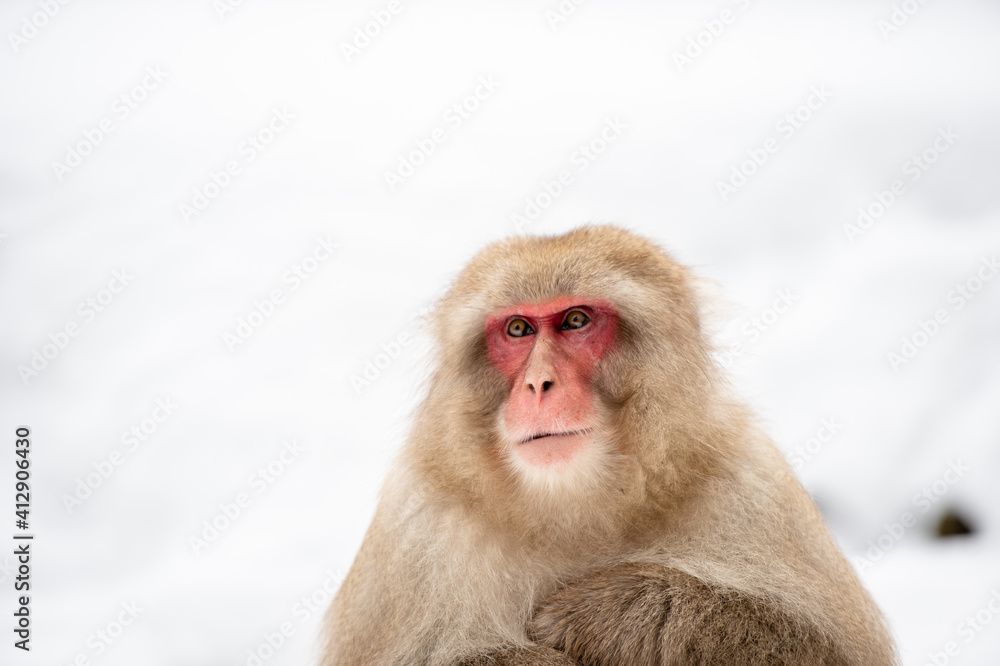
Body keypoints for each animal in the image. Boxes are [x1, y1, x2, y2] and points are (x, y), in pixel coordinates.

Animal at [322, 225, 897, 665]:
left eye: (576, 320)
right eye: (518, 328)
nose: (539, 384)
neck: (574, 508)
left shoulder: (751, 482)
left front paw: (622, 612)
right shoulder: (416, 527)